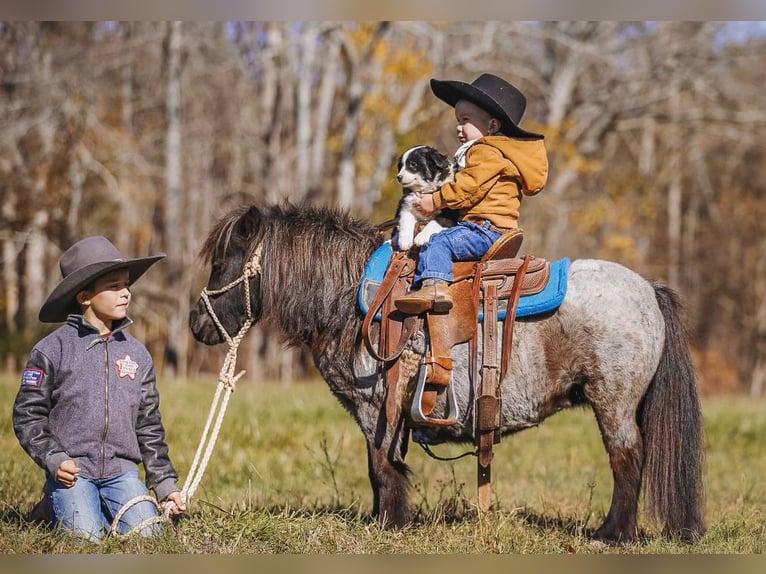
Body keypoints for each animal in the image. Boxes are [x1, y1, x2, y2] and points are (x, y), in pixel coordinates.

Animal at [189, 205, 704, 548]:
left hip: (613, 402)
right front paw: (383, 520)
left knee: (627, 461)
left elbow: (381, 466)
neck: (350, 299)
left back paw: (613, 535)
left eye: (221, 263)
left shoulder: (375, 407)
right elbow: (383, 466)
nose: (197, 323)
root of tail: (648, 289)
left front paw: (390, 524)